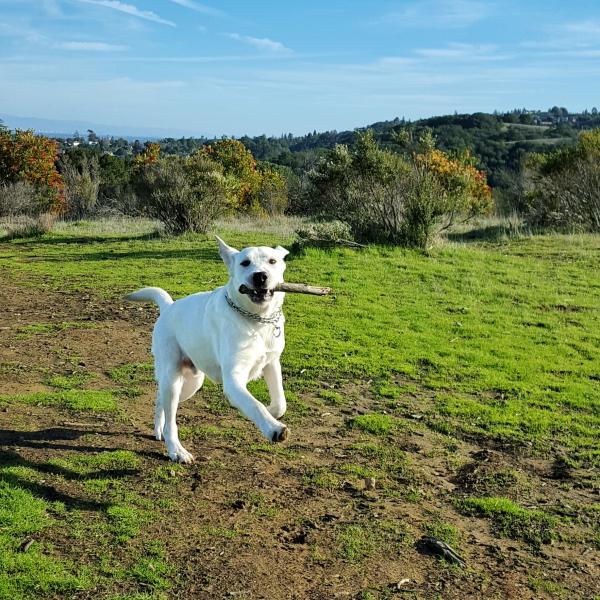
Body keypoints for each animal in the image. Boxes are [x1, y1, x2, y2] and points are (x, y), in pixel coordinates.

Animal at [127, 237, 292, 462]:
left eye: (272, 261)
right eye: (245, 263)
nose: (260, 276)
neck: (256, 321)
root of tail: (169, 307)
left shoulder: (271, 363)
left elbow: (280, 402)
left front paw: (271, 412)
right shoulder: (233, 380)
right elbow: (254, 404)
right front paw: (273, 428)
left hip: (191, 383)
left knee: (160, 400)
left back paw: (158, 429)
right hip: (173, 379)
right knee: (171, 419)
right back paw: (176, 450)